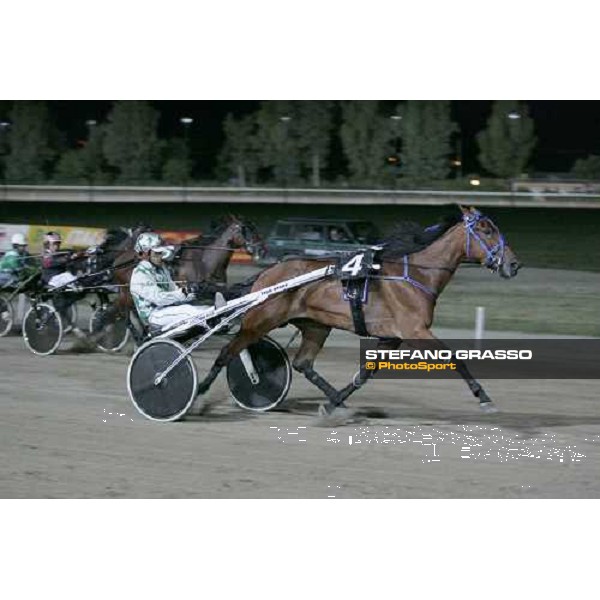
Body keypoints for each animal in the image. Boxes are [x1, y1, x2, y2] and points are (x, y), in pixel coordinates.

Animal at [197, 205, 520, 412]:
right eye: (486, 230)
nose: (513, 264)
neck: (416, 274)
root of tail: (266, 275)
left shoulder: (391, 336)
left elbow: (366, 373)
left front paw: (335, 402)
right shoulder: (415, 330)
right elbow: (455, 359)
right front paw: (483, 396)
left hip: (315, 325)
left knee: (303, 363)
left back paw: (335, 400)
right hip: (259, 321)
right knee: (227, 352)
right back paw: (198, 396)